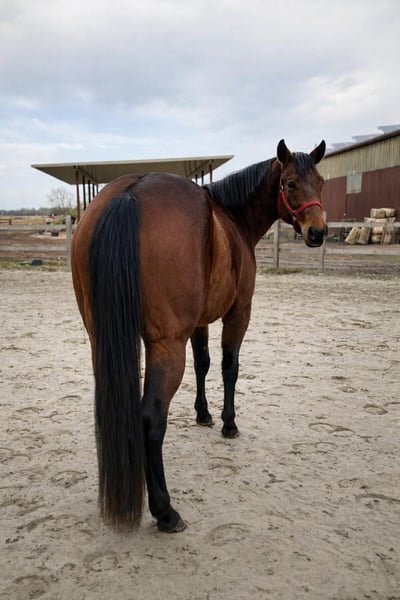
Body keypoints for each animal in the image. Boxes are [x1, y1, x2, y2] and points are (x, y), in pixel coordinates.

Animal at [71, 139, 327, 533]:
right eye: (290, 183)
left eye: (322, 182)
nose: (318, 232)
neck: (232, 219)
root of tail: (129, 193)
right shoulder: (239, 313)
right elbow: (228, 367)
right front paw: (228, 423)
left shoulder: (200, 323)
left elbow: (203, 365)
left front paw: (203, 414)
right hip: (166, 346)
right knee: (151, 418)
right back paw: (165, 510)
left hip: (101, 339)